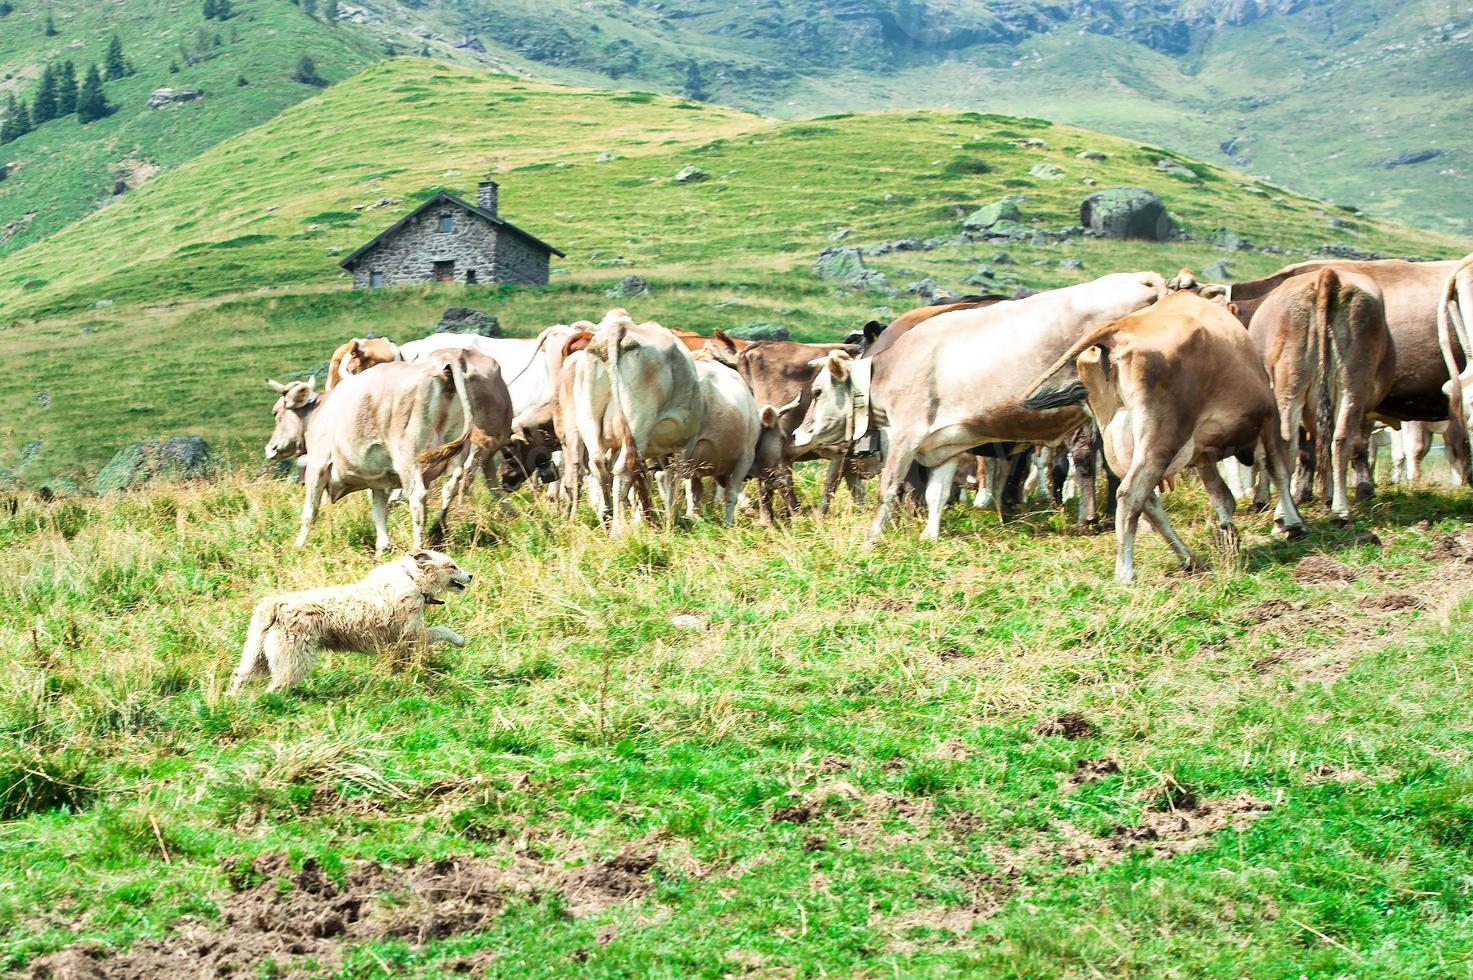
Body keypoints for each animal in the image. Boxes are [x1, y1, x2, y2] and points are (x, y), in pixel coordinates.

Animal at [229, 551, 471, 695]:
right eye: (452, 566)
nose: (471, 575)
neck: (413, 580)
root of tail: (277, 604)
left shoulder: (400, 642)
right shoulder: (412, 635)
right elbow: (442, 630)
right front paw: (460, 640)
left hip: (259, 658)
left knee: (239, 676)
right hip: (293, 662)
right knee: (274, 688)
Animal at [268, 347, 515, 554]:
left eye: (276, 412)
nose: (270, 448)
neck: (320, 412)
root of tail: (443, 366)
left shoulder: (318, 465)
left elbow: (310, 511)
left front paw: (298, 547)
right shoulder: (376, 479)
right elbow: (378, 511)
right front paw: (382, 547)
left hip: (409, 456)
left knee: (418, 497)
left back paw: (418, 547)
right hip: (456, 450)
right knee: (452, 484)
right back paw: (438, 529)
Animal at [795, 269, 1160, 542]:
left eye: (817, 391)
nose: (799, 433)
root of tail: (1142, 279)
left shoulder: (905, 435)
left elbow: (892, 487)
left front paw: (875, 537)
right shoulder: (943, 443)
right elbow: (937, 492)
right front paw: (929, 535)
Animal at [1031, 288, 1308, 580]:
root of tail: (1121, 328)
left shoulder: (1202, 454)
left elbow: (1221, 495)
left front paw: (1229, 535)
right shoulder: (1269, 416)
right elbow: (1278, 469)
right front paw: (1293, 524)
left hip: (1121, 444)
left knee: (1148, 502)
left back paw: (1189, 558)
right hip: (1160, 440)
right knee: (1130, 495)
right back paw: (1126, 571)